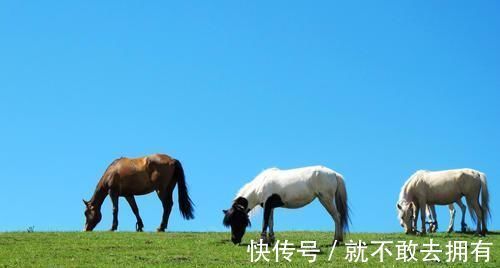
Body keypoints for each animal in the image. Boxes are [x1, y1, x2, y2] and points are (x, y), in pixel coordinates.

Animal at [221, 165, 350, 245]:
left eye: (237, 219)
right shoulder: (270, 206)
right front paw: (271, 240)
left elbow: (264, 222)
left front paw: (262, 241)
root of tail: (334, 174)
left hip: (326, 199)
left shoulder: (267, 204)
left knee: (337, 217)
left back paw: (336, 241)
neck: (260, 186)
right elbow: (270, 222)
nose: (234, 240)